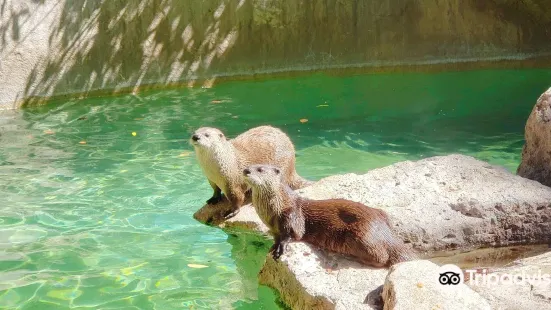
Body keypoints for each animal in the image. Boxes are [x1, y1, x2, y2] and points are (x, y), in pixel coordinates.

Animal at [244, 163, 416, 268]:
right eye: (250, 166)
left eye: (260, 169)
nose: (246, 170)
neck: (275, 209)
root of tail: (385, 233)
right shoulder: (273, 228)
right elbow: (276, 237)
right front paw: (273, 245)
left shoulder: (292, 215)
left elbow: (293, 234)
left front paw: (280, 248)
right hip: (381, 216)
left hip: (361, 236)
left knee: (382, 257)